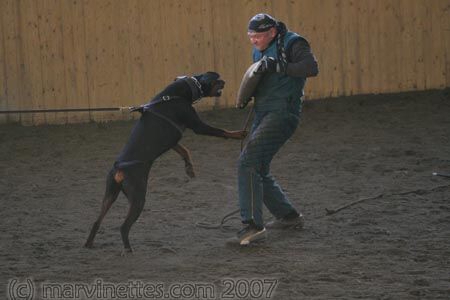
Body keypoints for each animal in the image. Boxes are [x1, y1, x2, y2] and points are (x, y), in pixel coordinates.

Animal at [84, 71, 246, 252]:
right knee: (123, 227)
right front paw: (240, 133)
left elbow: (185, 150)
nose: (224, 81)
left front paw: (190, 169)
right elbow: (222, 131)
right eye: (215, 77)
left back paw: (89, 244)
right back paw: (128, 250)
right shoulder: (198, 126)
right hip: (138, 197)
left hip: (110, 193)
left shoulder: (173, 140)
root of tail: (119, 168)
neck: (176, 94)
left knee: (97, 221)